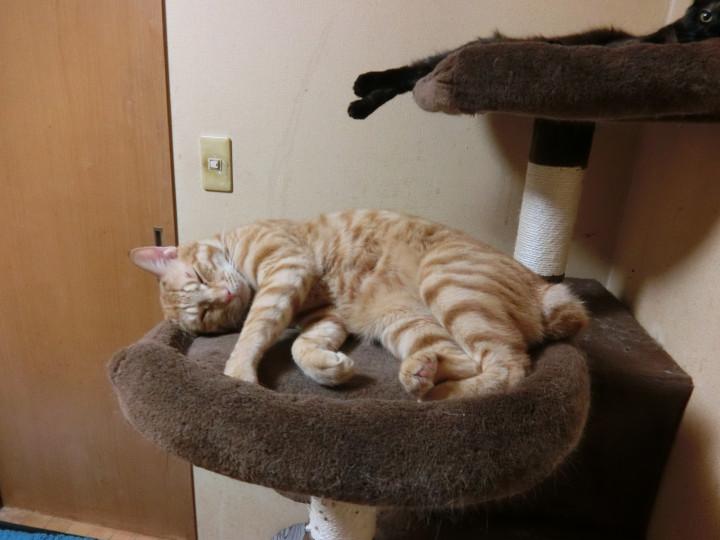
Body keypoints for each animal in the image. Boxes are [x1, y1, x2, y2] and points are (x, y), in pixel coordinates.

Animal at [130, 210, 588, 400]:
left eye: (199, 277)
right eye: (206, 314)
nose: (224, 297)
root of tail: (541, 286)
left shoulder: (286, 268)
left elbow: (254, 331)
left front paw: (238, 374)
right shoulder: (324, 317)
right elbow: (301, 347)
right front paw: (329, 368)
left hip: (446, 283)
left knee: (507, 367)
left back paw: (438, 394)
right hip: (404, 322)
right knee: (465, 358)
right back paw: (421, 374)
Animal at [348, 0, 720, 119]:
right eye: (706, 15)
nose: (709, 29)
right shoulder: (626, 46)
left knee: (411, 77)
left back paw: (360, 104)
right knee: (411, 70)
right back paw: (362, 86)